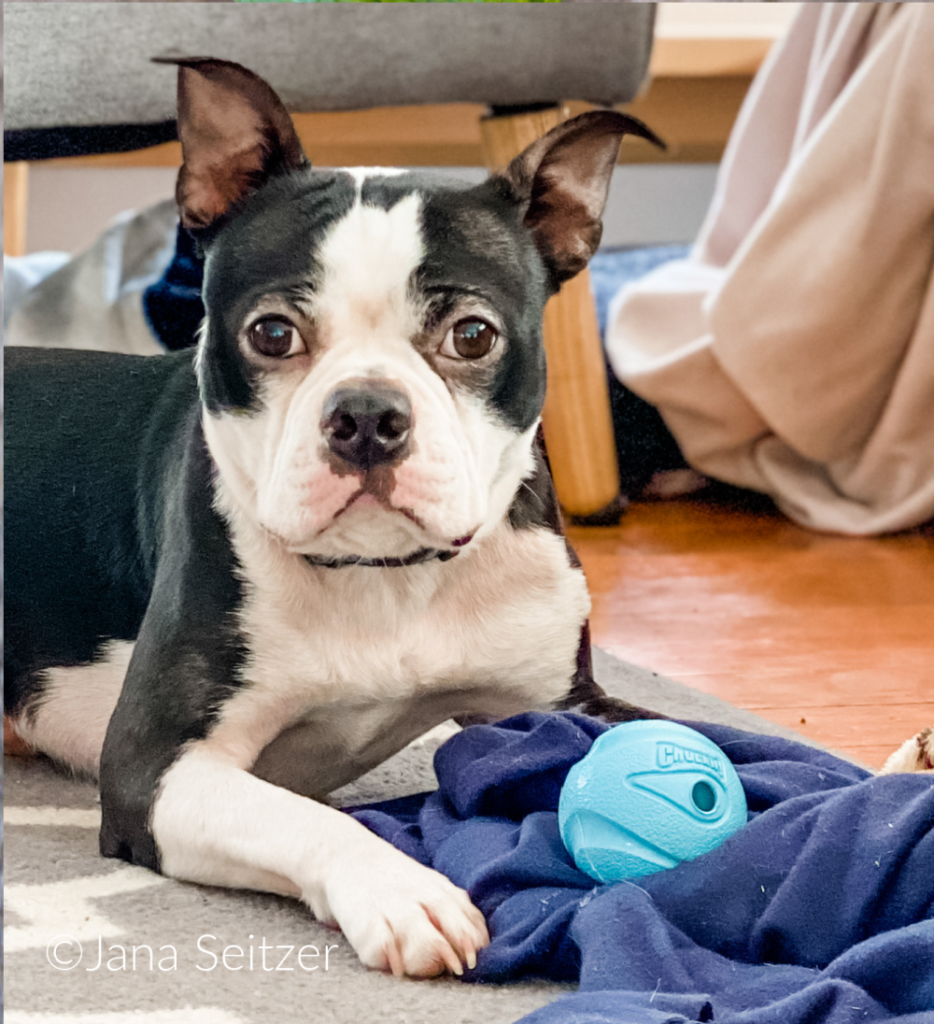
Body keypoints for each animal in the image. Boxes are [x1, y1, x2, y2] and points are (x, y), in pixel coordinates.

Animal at [5, 56, 663, 974]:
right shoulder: (153, 767)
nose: (367, 415)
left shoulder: (564, 700)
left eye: (473, 336)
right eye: (273, 334)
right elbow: (302, 816)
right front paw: (402, 890)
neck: (385, 574)